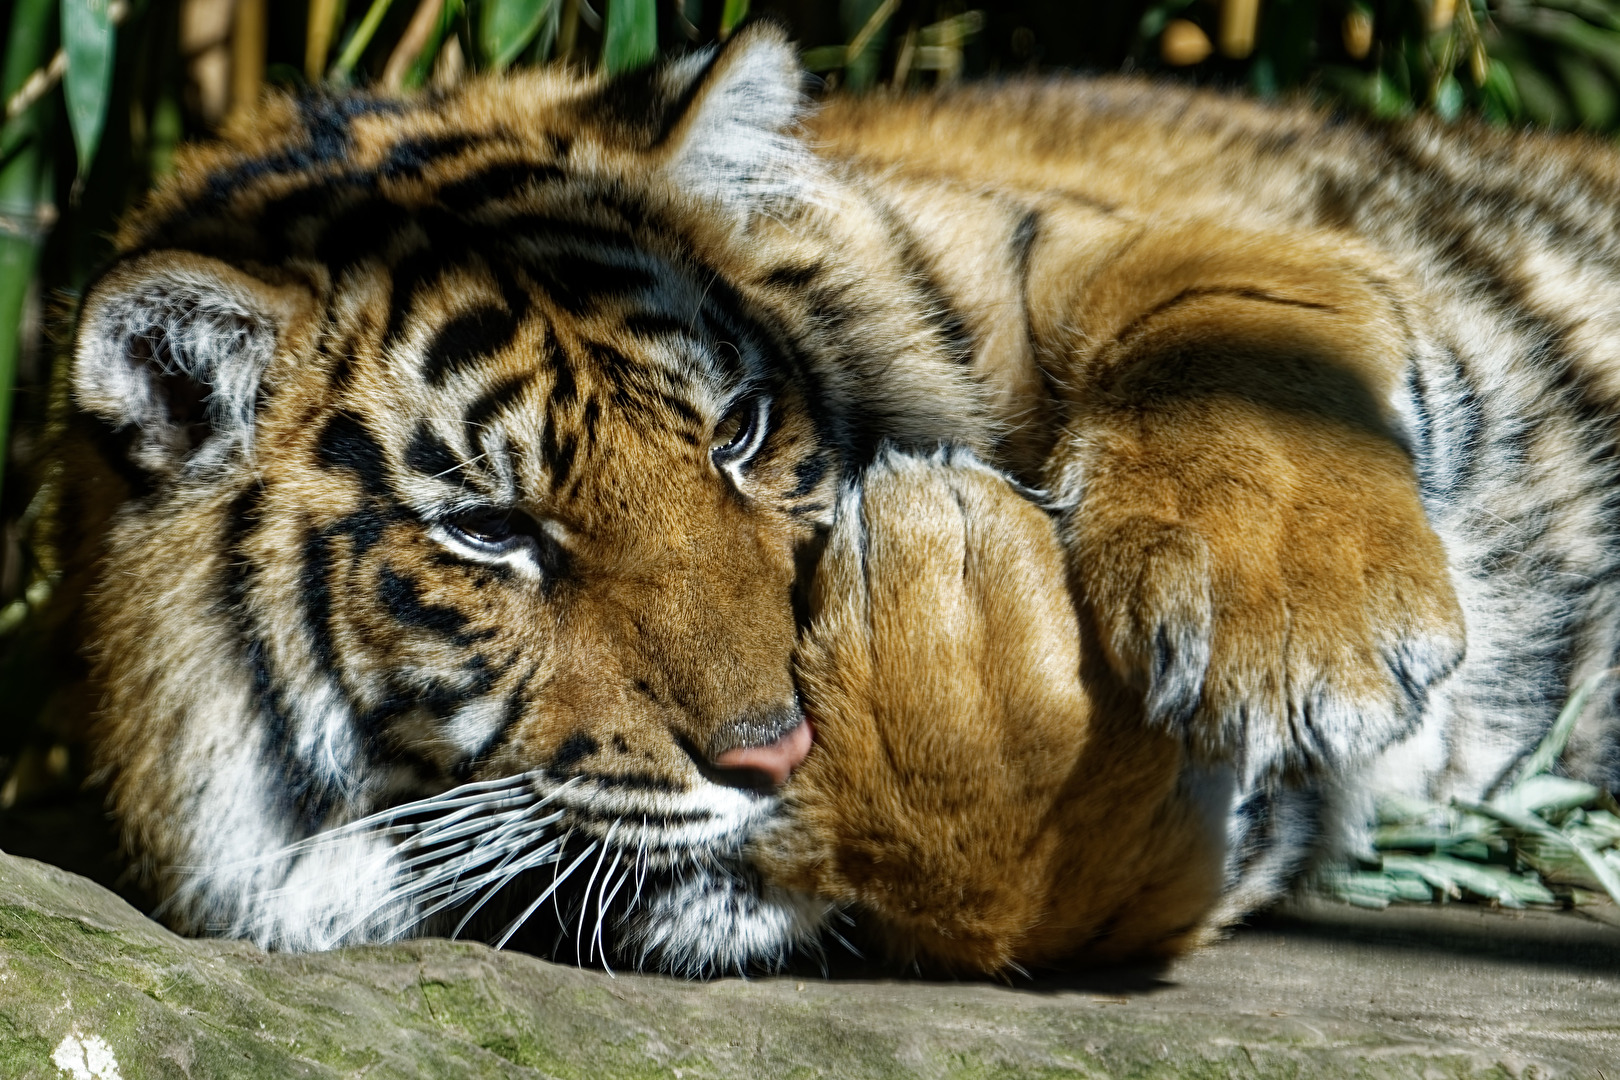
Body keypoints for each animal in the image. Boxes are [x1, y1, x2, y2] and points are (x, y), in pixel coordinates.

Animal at [41, 21, 1620, 977]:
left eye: (738, 433)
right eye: (491, 533)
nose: (775, 754)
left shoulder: (1082, 236)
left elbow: (1226, 324)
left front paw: (1295, 632)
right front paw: (952, 608)